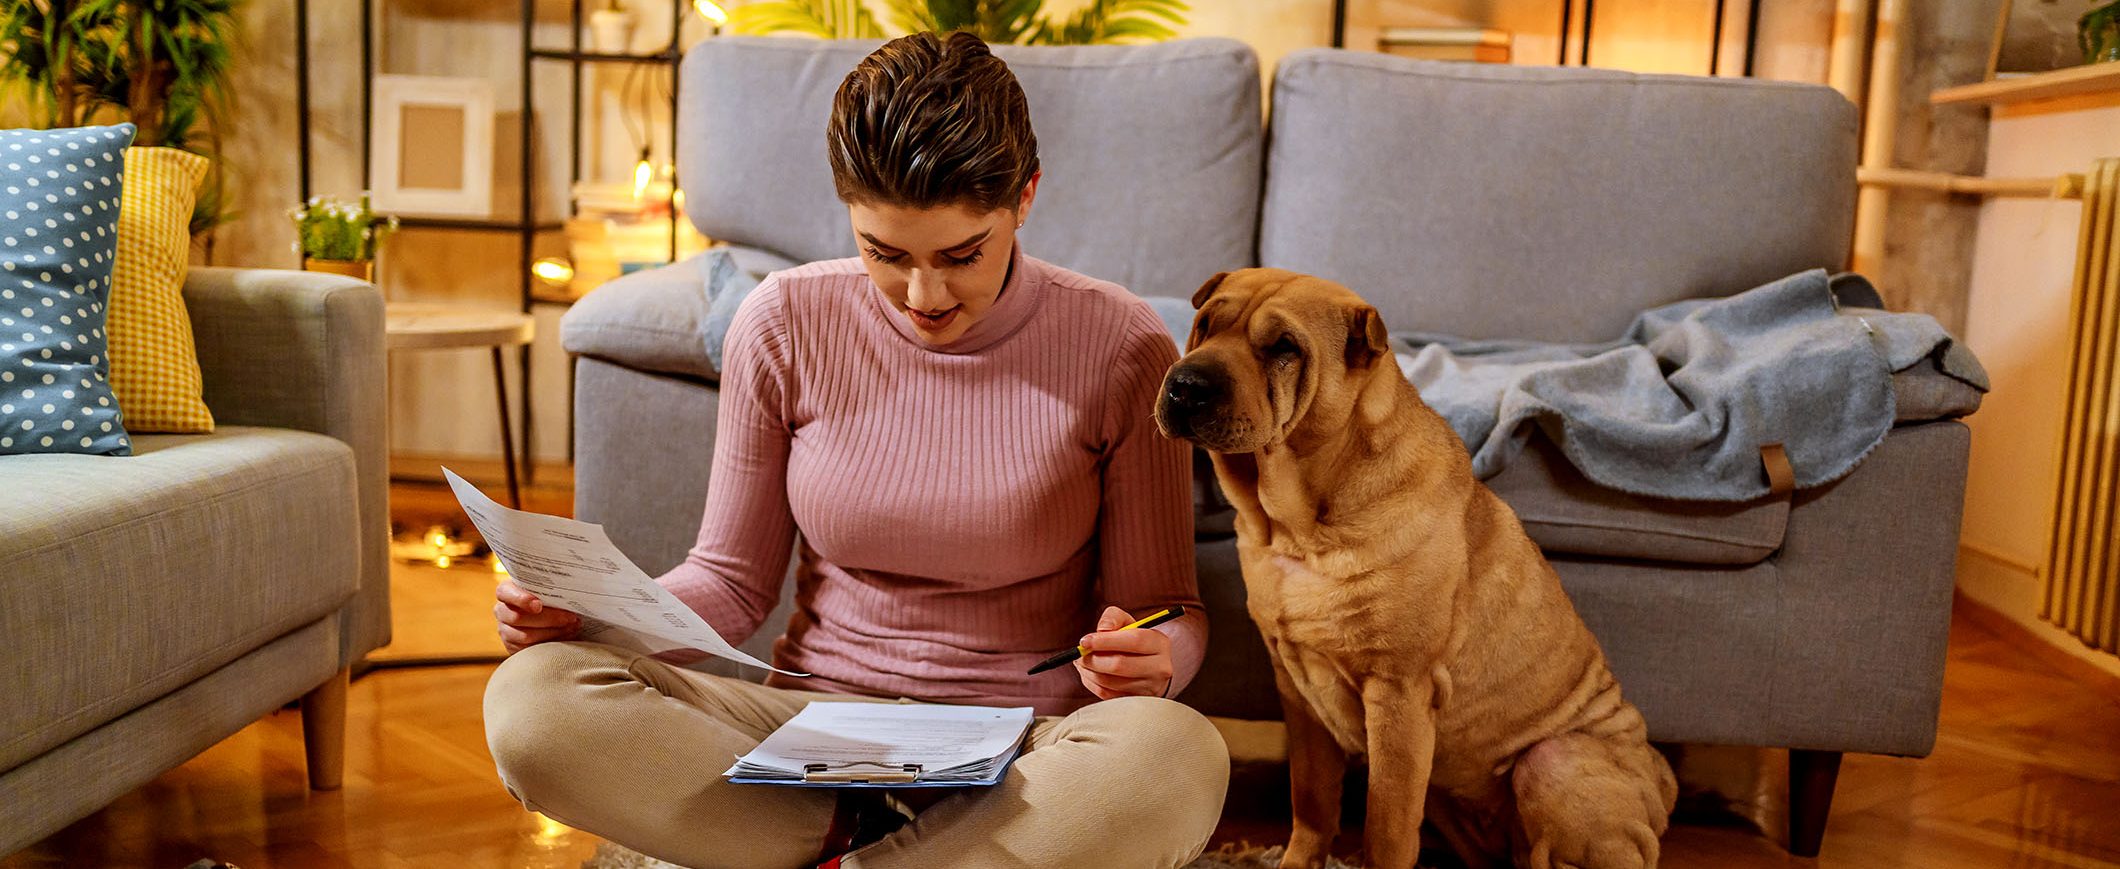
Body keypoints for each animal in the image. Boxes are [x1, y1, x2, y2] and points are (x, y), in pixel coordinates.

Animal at [1161, 268, 1670, 864]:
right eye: (1205, 324)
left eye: (1285, 348)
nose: (1186, 384)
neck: (1297, 527)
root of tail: (1662, 782)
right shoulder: (1297, 692)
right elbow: (1311, 799)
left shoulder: (1399, 691)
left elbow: (1387, 823)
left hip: (1555, 763)